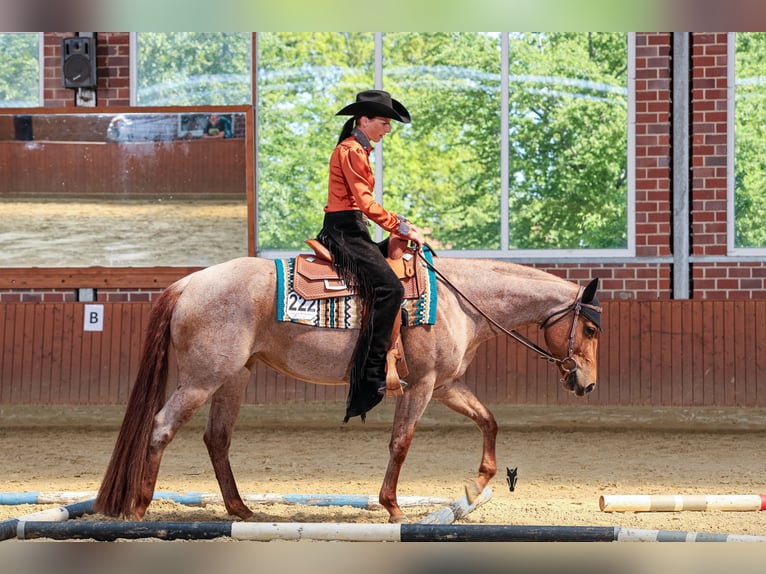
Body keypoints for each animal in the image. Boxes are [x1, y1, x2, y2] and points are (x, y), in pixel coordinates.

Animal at [94, 254, 602, 524]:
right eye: (592, 330)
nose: (588, 383)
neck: (461, 301)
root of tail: (187, 283)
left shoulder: (446, 385)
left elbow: (488, 420)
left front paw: (476, 486)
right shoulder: (421, 385)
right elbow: (401, 443)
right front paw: (393, 507)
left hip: (233, 378)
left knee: (217, 438)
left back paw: (241, 509)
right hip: (202, 380)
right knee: (161, 427)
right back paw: (138, 508)